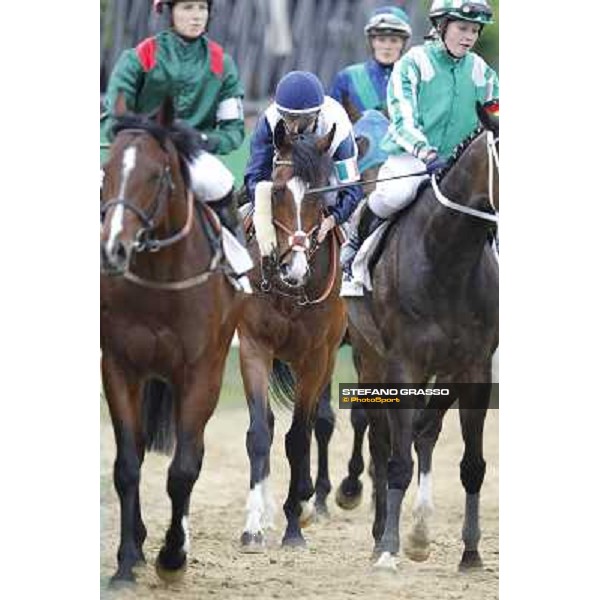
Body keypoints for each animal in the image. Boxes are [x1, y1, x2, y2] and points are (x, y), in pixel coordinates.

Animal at [99, 95, 240, 584]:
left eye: (157, 174)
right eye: (107, 171)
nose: (113, 249)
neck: (162, 280)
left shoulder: (201, 375)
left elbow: (183, 468)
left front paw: (173, 556)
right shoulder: (119, 367)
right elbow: (127, 463)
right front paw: (127, 561)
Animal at [344, 103, 500, 572]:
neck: (447, 260)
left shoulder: (474, 368)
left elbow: (472, 464)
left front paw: (470, 553)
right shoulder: (403, 365)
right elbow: (396, 460)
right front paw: (388, 550)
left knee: (425, 429)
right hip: (369, 360)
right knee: (380, 442)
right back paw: (381, 535)